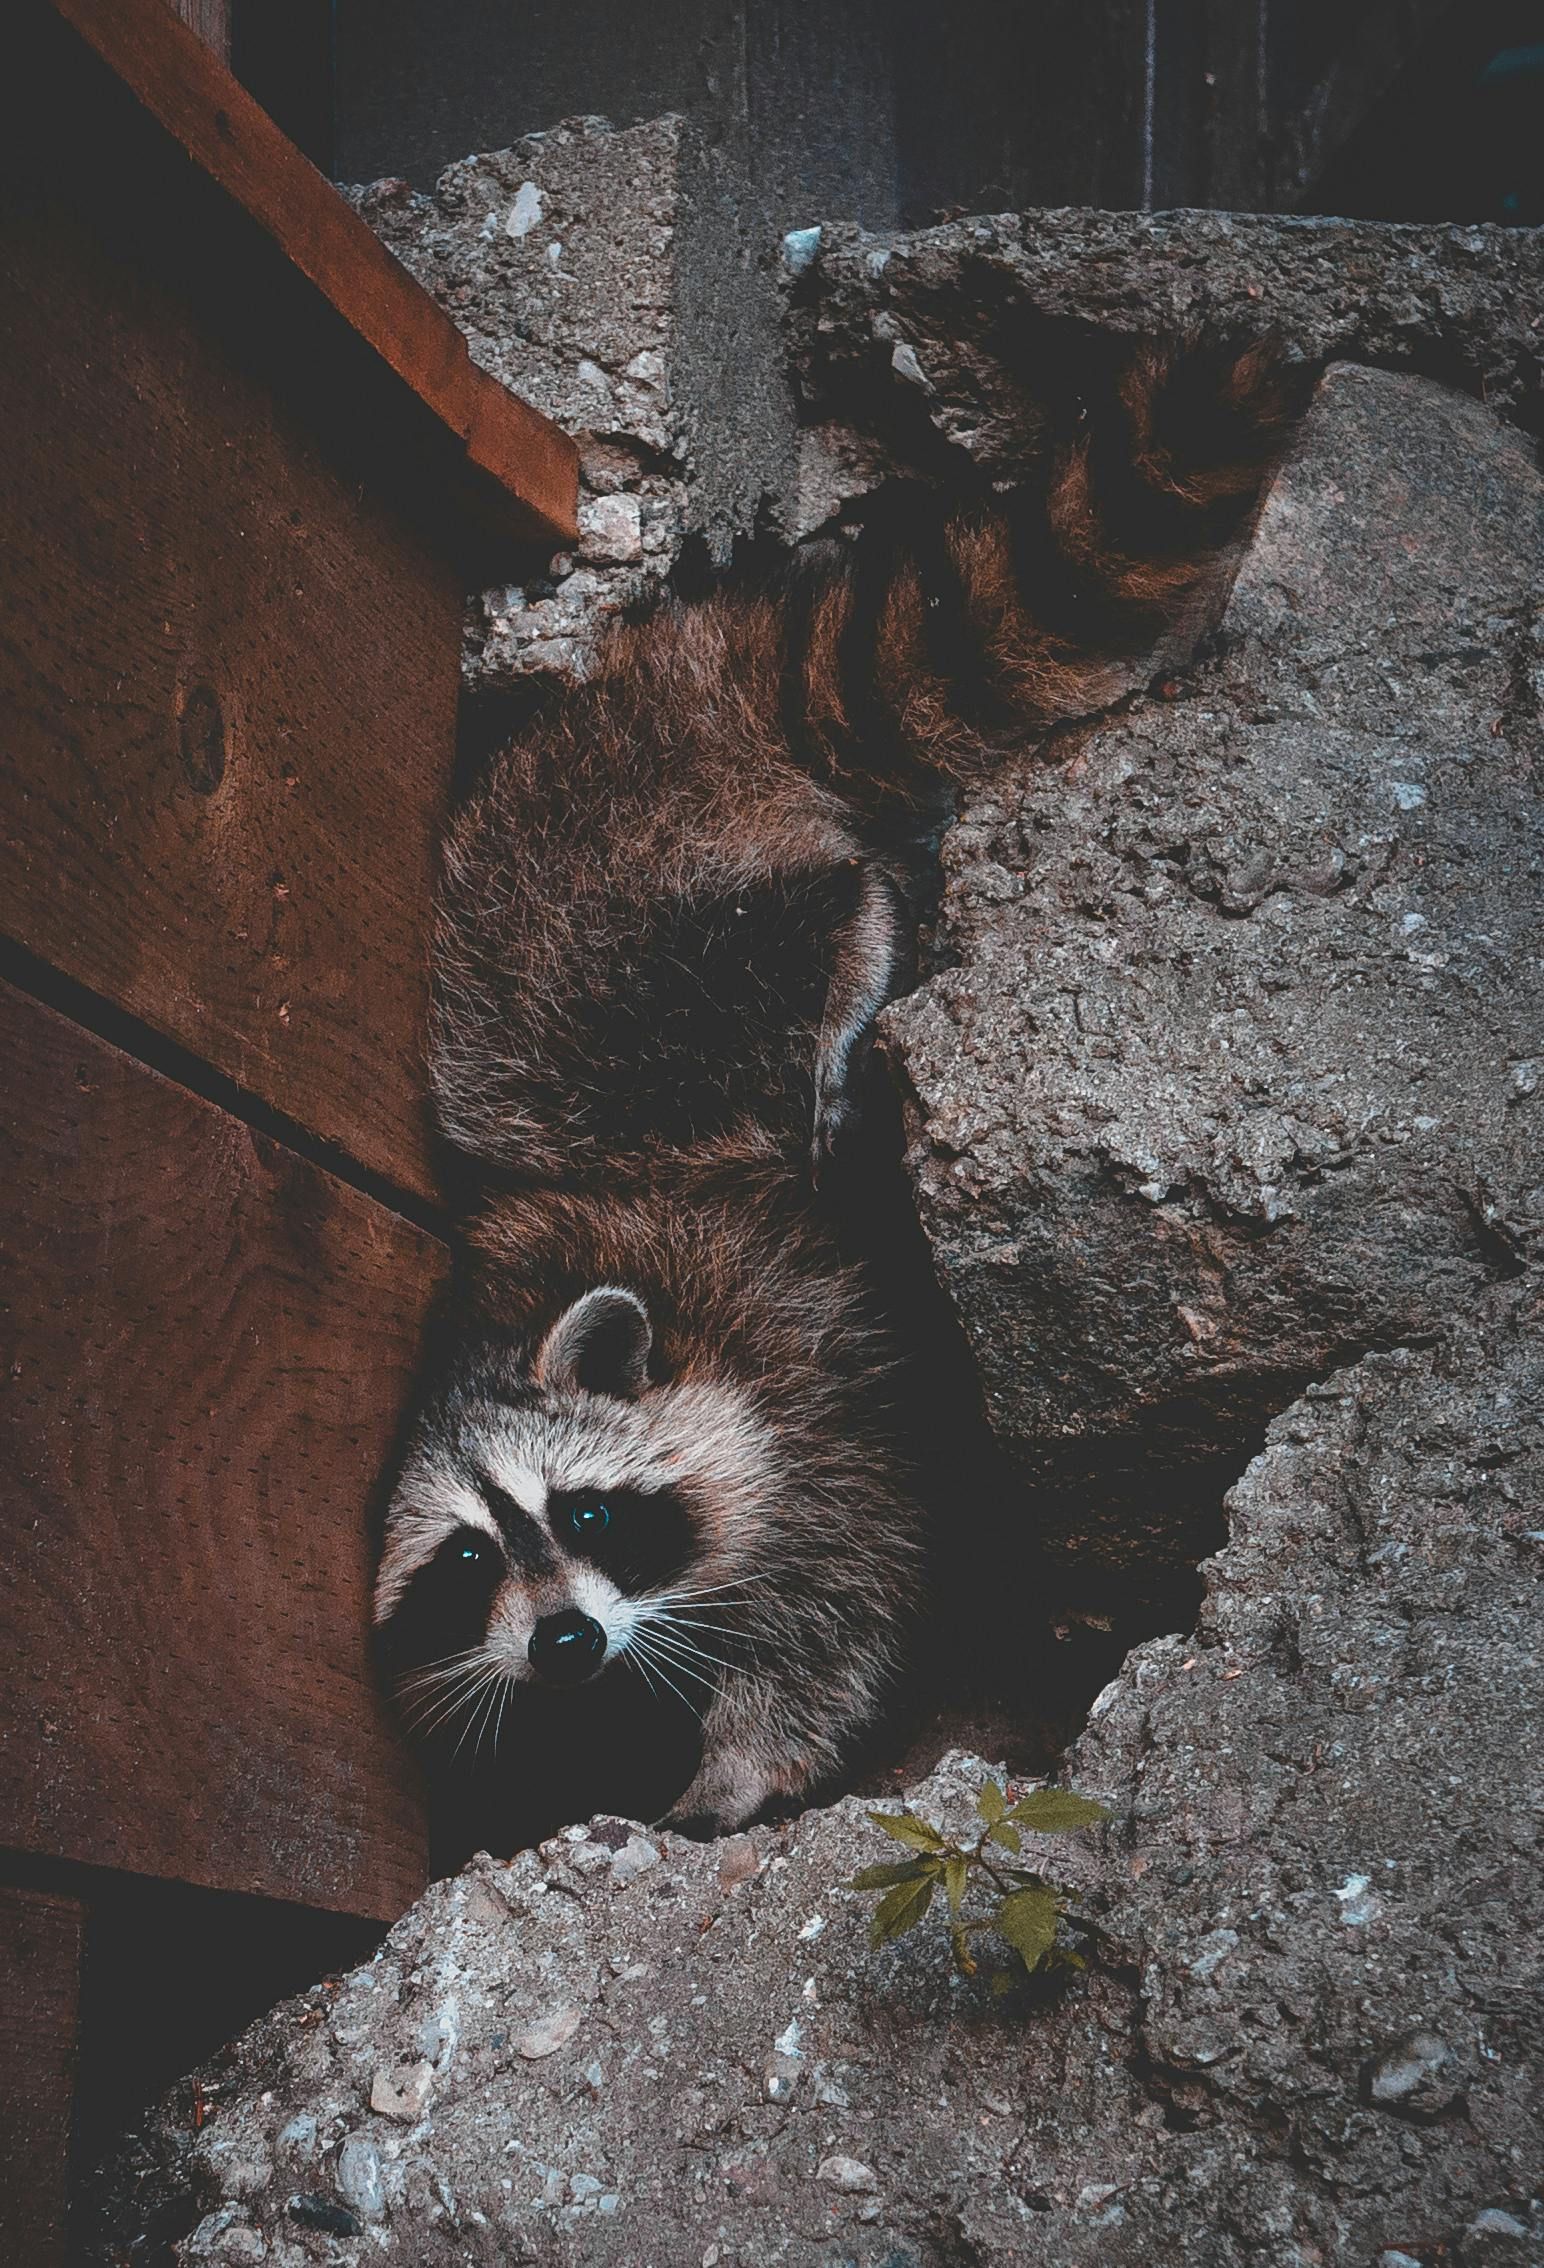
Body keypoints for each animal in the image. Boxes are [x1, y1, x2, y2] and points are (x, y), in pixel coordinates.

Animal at [376, 332, 1304, 1835]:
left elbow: (838, 1596)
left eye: (583, 1513)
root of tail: (646, 708)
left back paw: (852, 946)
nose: (565, 1641)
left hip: (635, 964)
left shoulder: (810, 1402)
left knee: (797, 929)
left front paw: (737, 1768)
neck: (493, 1324)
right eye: (463, 1563)